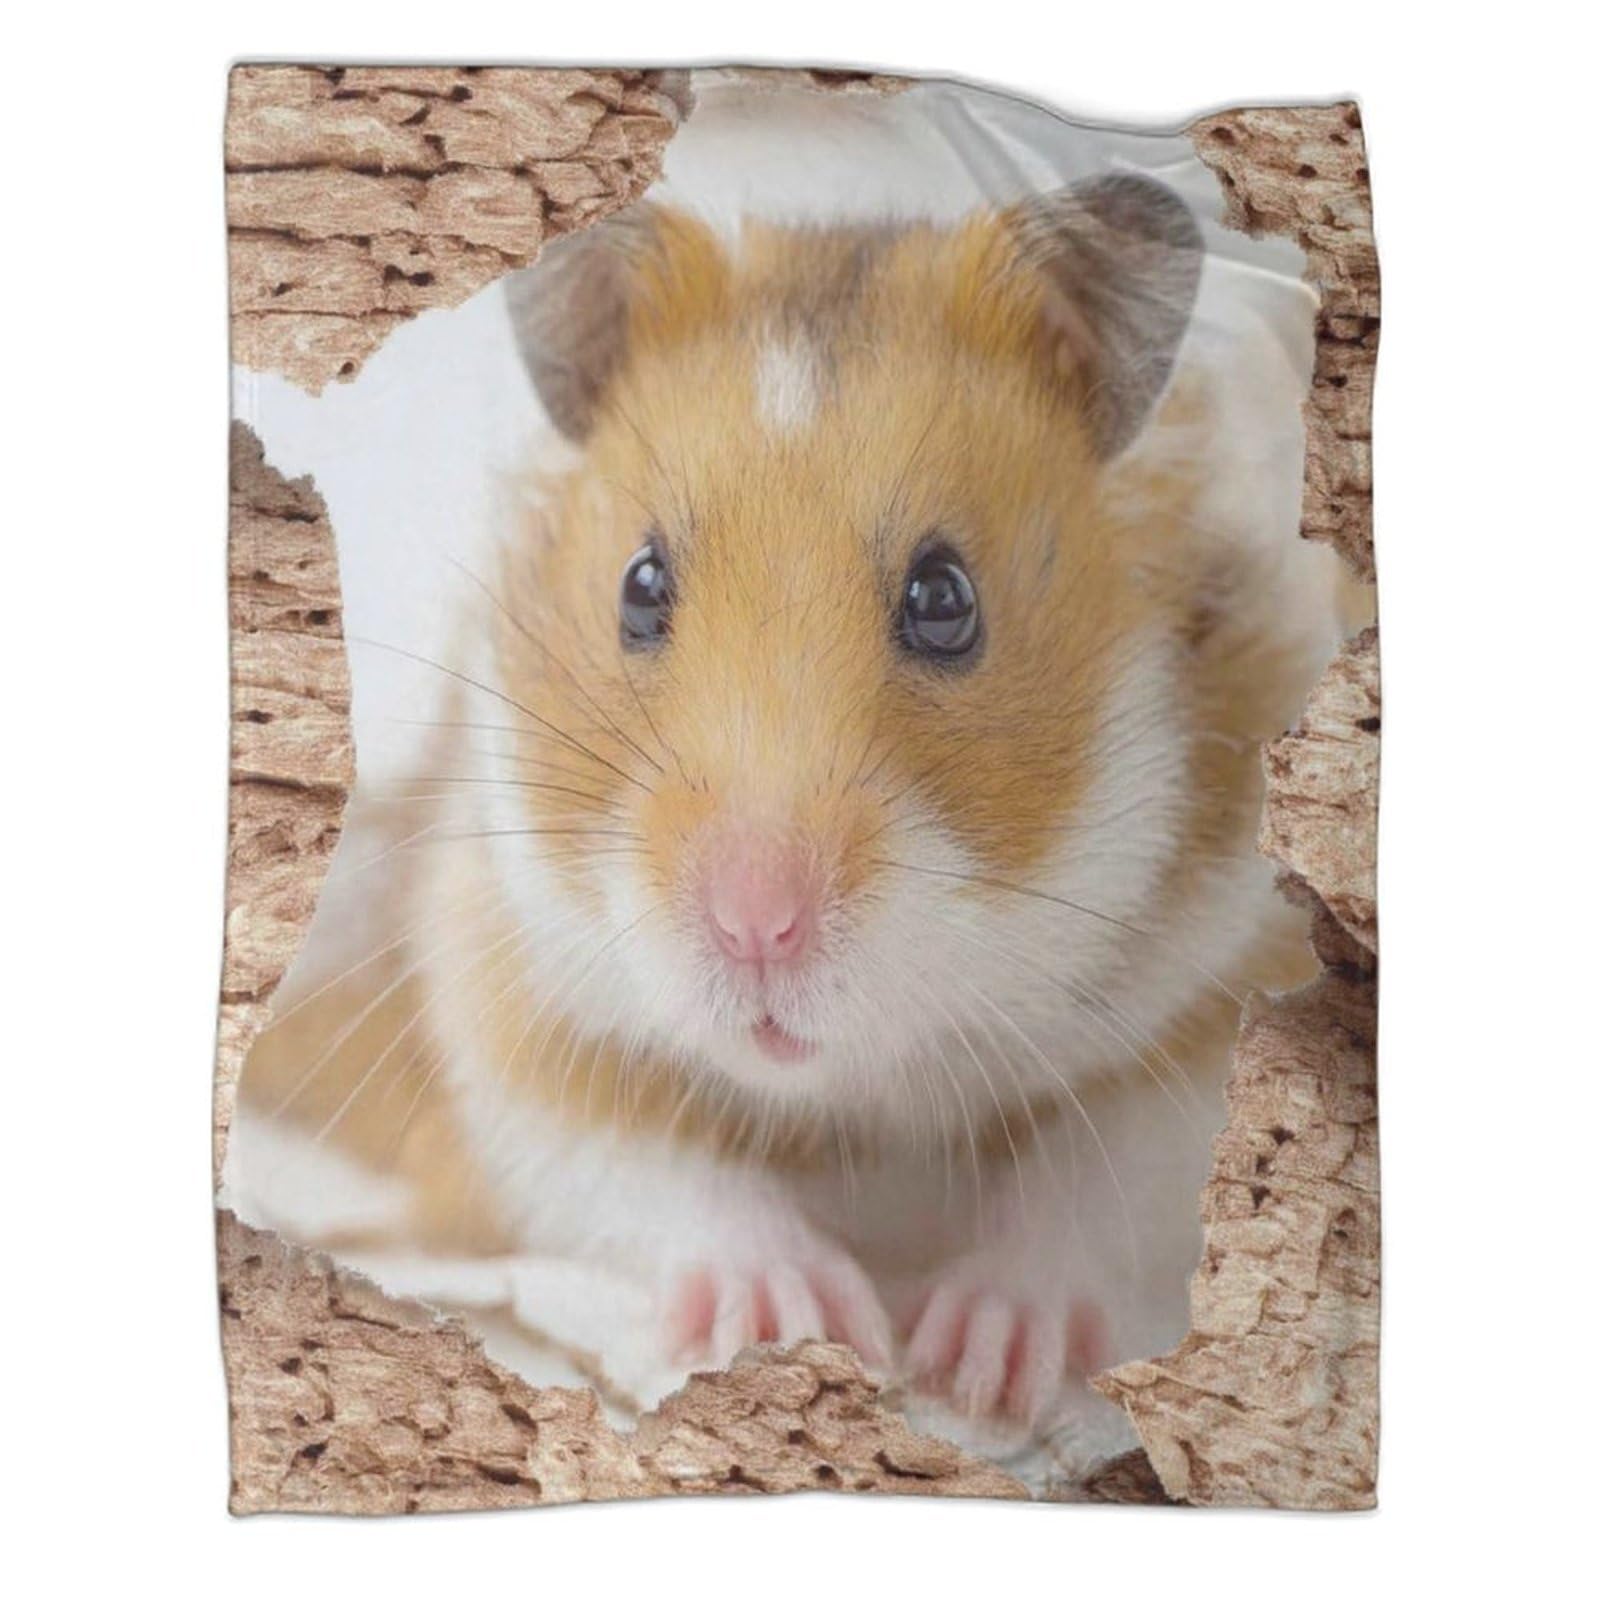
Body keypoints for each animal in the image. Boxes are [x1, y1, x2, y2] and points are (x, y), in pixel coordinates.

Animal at [238, 176, 1346, 1437]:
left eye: (945, 598)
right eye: (640, 586)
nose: (754, 927)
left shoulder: (1220, 966)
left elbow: (1105, 1177)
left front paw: (979, 1360)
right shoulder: (503, 978)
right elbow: (644, 1164)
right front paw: (801, 1317)